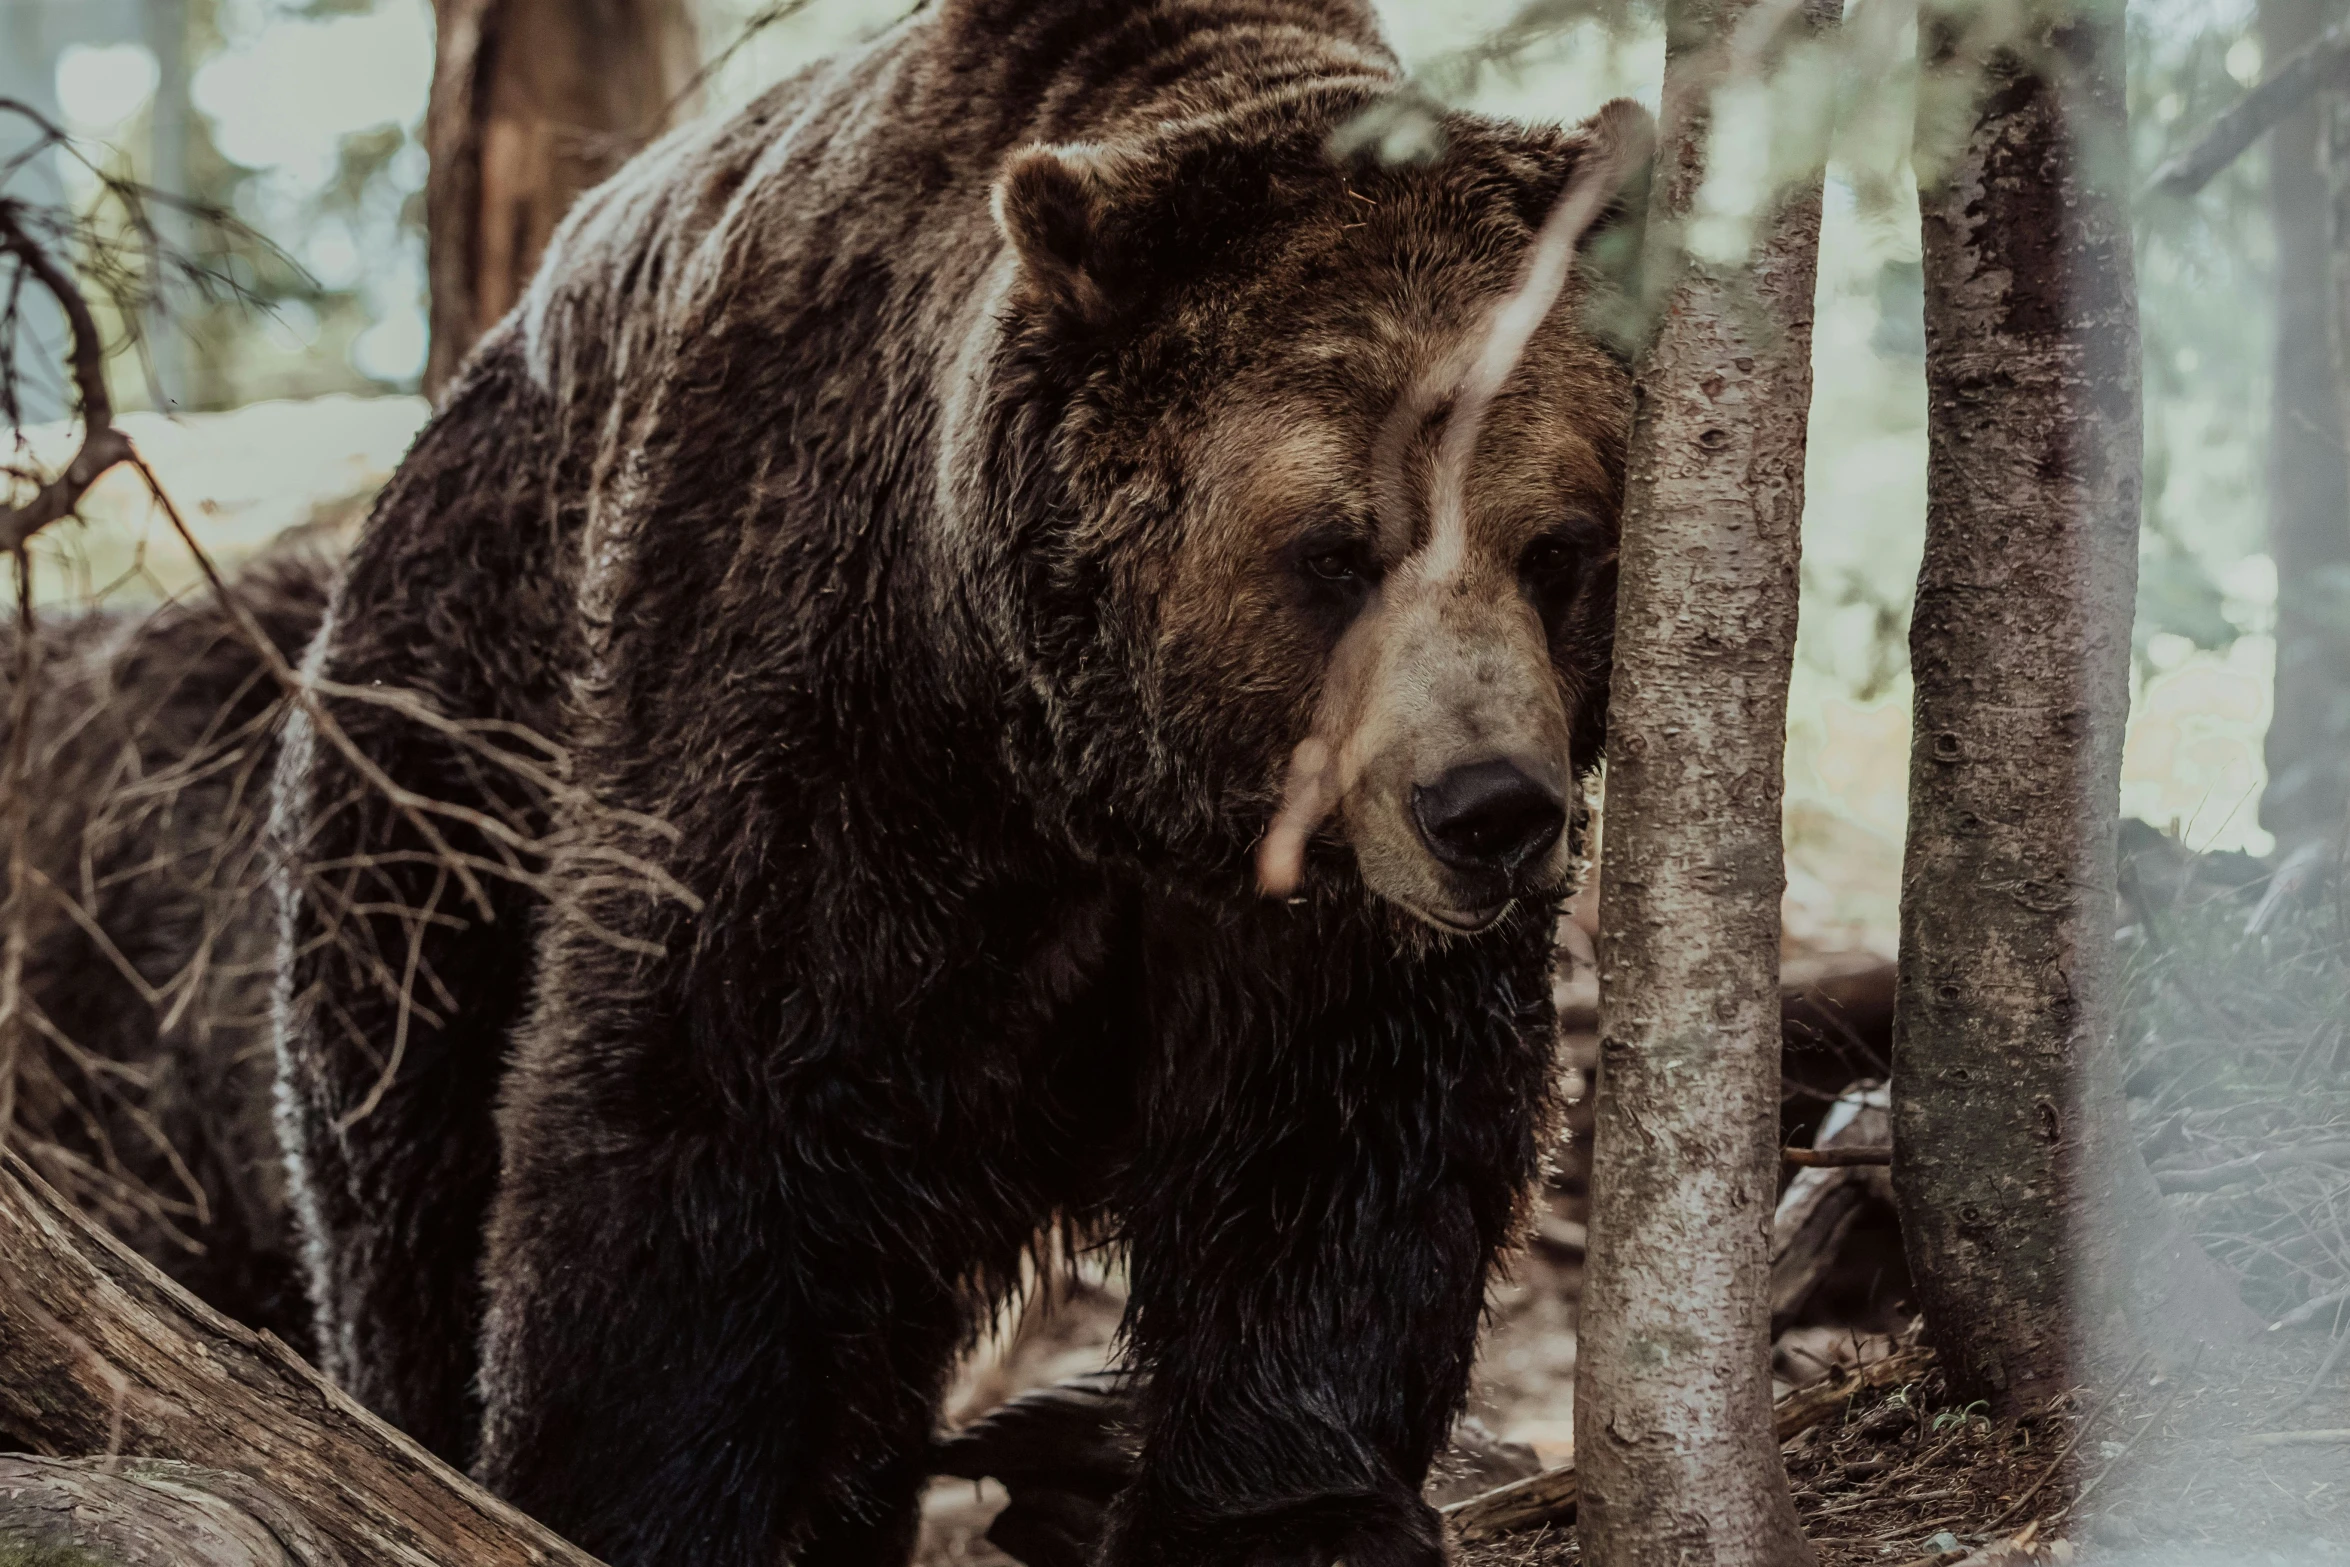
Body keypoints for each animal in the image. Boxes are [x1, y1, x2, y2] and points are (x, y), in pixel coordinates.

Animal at [270, 3, 1635, 1567]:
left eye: (1556, 548)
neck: (1091, 778)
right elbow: (698, 1114)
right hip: (447, 747)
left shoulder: (1311, 908)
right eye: (1336, 550)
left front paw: (1292, 1508)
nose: (1491, 810)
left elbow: (1336, 1140)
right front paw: (619, 1496)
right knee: (408, 1154)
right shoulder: (824, 727)